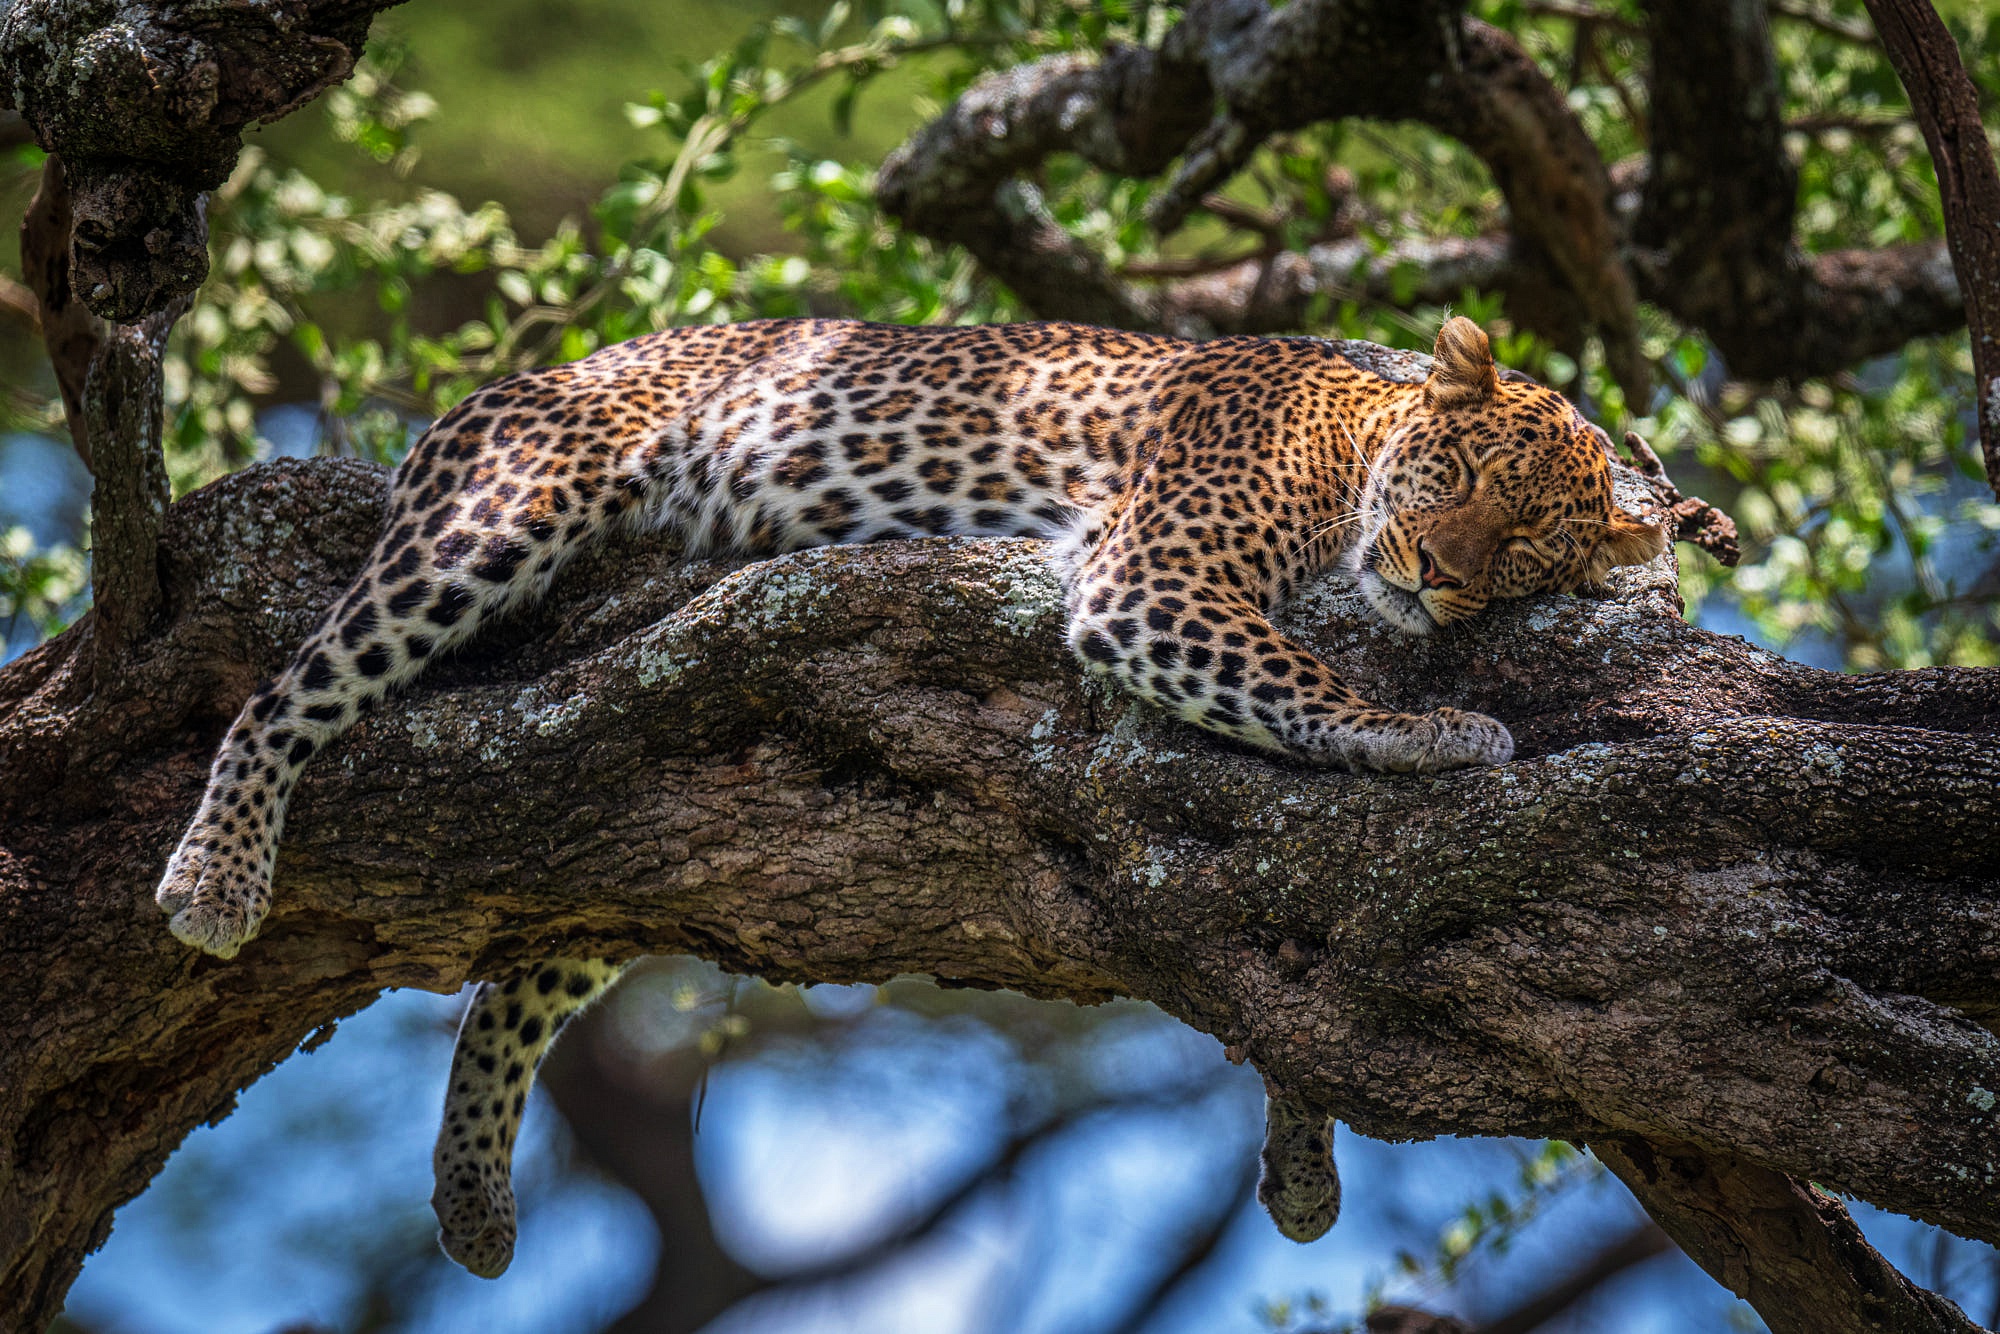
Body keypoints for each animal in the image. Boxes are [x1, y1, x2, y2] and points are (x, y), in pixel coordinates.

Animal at [148, 316, 1664, 1280]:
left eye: (1526, 543)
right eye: (1456, 478)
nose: (1437, 576)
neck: (1353, 435)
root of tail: (500, 393)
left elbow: (1283, 970)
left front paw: (1300, 1158)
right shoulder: (1153, 580)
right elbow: (1310, 685)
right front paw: (1438, 731)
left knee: (532, 958)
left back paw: (470, 1194)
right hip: (502, 507)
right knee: (287, 689)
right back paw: (215, 874)